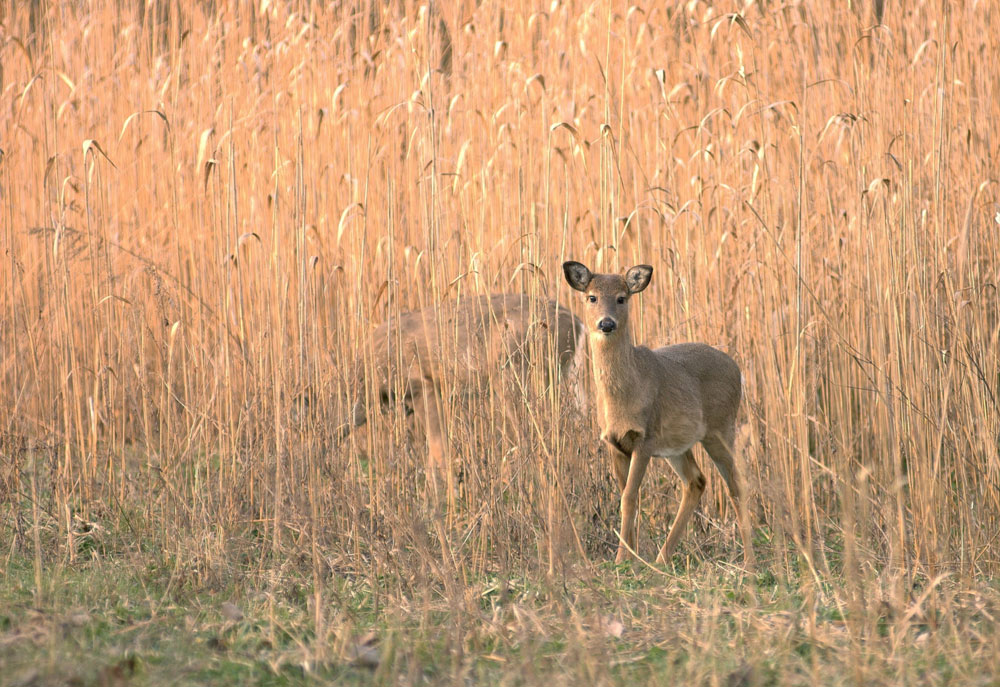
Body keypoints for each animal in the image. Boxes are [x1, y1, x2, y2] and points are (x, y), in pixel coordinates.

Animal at [344, 292, 584, 464]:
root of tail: (578, 324)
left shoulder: (421, 386)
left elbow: (438, 449)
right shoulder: (407, 405)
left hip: (514, 371)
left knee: (530, 433)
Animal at [560, 260, 752, 568]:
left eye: (621, 298)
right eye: (591, 297)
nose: (606, 323)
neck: (626, 395)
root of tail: (737, 367)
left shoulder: (645, 439)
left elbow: (629, 497)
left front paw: (622, 557)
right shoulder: (614, 443)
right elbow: (627, 496)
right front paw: (632, 555)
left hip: (721, 429)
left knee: (736, 485)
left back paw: (749, 561)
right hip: (679, 446)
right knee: (697, 481)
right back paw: (663, 558)